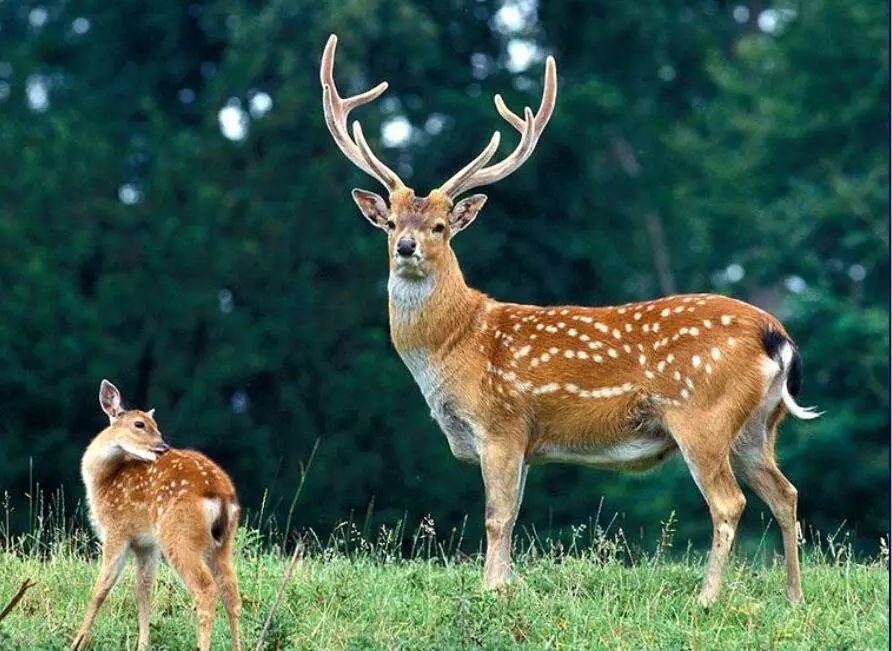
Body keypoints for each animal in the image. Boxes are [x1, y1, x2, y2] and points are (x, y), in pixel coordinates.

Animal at [72, 380, 242, 651]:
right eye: (139, 424)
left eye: (155, 425)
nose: (164, 446)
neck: (102, 481)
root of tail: (221, 494)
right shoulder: (146, 544)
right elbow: (143, 590)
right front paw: (143, 644)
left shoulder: (116, 530)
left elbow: (101, 588)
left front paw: (77, 641)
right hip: (223, 543)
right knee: (232, 594)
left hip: (179, 534)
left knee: (206, 589)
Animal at [320, 34, 824, 608]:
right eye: (390, 223)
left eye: (441, 226)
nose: (407, 246)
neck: (455, 346)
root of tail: (777, 336)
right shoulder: (525, 443)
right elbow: (513, 515)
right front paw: (507, 584)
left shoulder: (502, 422)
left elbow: (496, 518)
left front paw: (490, 591)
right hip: (759, 426)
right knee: (785, 493)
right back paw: (794, 597)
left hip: (703, 414)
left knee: (729, 502)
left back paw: (707, 597)